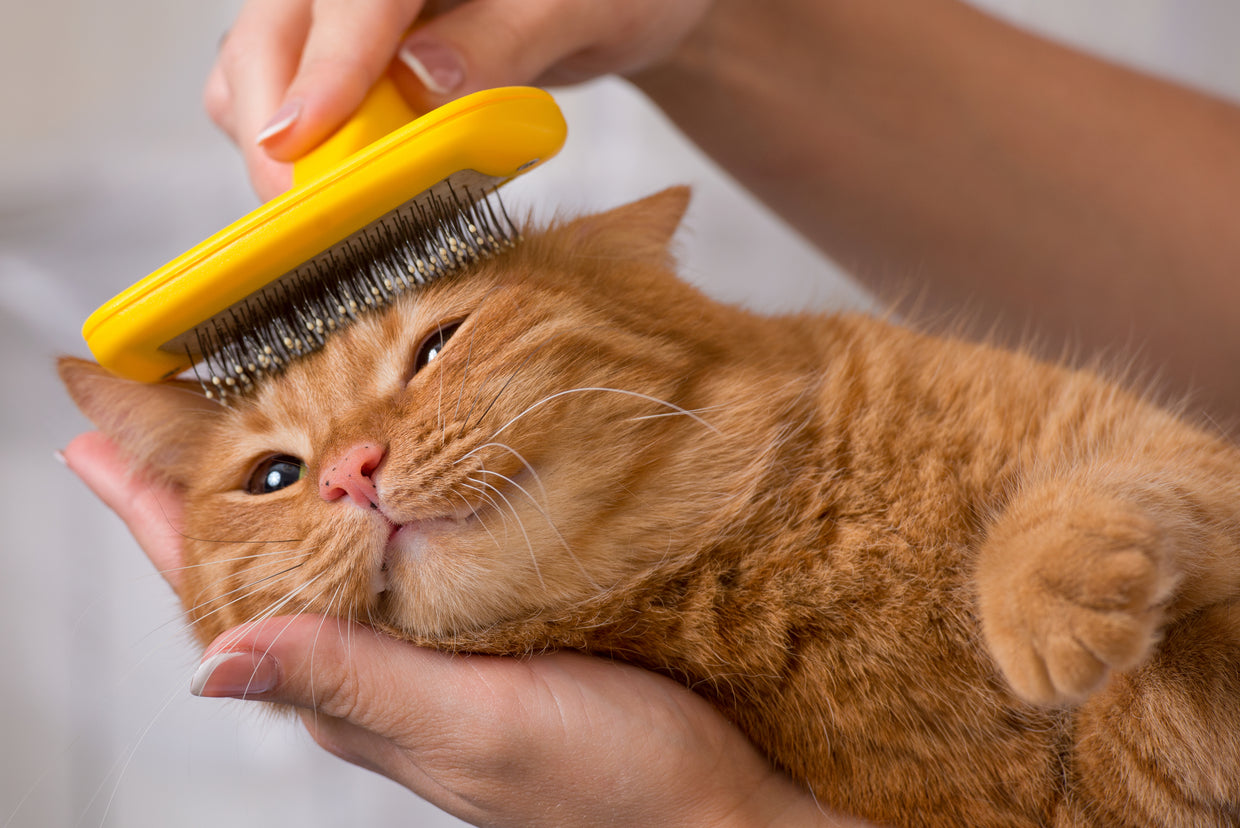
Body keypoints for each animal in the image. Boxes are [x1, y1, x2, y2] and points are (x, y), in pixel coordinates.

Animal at [60, 190, 1240, 823]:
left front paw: (1048, 595)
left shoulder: (1160, 451)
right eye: (272, 477)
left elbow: (1106, 494)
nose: (353, 468)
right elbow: (1157, 721)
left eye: (437, 346)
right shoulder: (1089, 801)